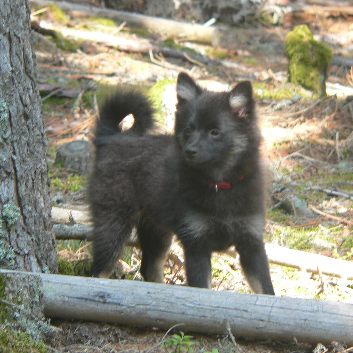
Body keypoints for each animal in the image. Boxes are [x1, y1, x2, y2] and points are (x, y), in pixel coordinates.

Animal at [88, 72, 276, 294]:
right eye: (189, 129)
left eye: (215, 132)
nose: (189, 151)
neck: (219, 185)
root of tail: (111, 138)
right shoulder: (196, 245)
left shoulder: (251, 244)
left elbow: (267, 290)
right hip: (114, 226)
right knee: (98, 272)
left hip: (157, 231)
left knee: (149, 269)